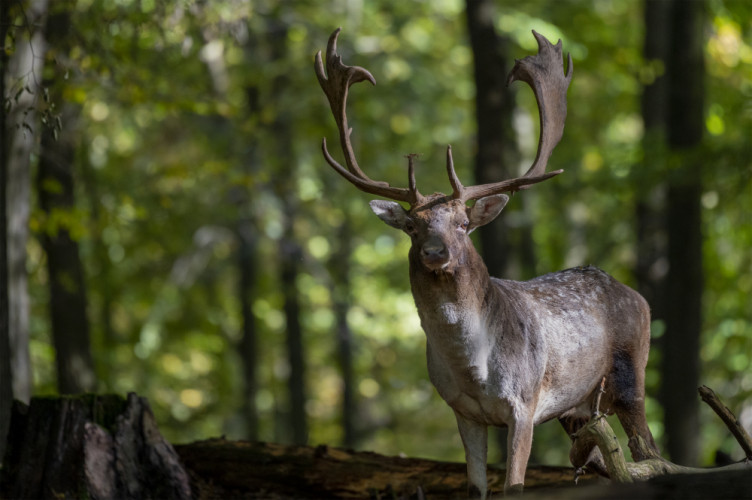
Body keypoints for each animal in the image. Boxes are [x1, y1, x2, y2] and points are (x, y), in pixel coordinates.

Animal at [314, 29, 656, 498]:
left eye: (462, 224)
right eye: (412, 227)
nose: (435, 253)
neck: (473, 369)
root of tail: (637, 296)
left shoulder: (525, 404)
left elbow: (514, 486)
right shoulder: (463, 412)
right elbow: (476, 487)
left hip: (631, 374)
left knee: (648, 450)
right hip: (579, 409)